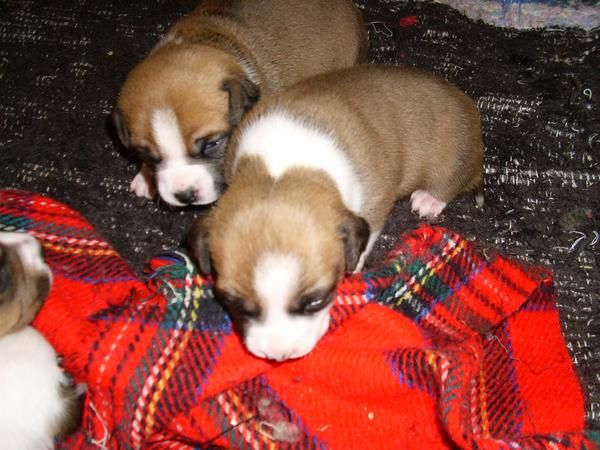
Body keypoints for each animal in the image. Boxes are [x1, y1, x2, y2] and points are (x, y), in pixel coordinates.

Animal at [190, 65, 486, 362]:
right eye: (233, 303)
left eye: (317, 300)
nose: (279, 355)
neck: (283, 169)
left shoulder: (375, 204)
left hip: (453, 162)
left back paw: (430, 199)